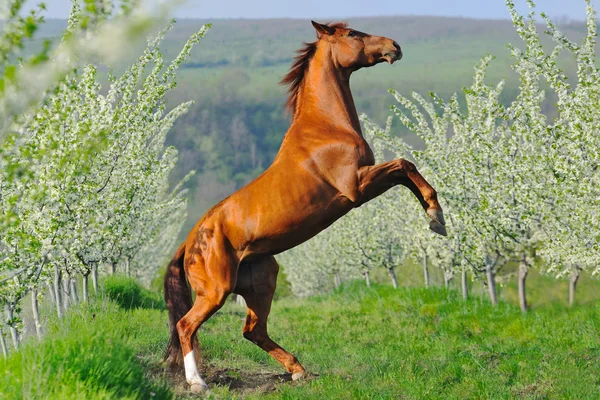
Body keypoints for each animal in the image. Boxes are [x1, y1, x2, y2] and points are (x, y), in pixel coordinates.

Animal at [164, 20, 446, 392]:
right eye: (352, 34)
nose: (394, 46)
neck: (325, 127)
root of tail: (189, 242)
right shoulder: (357, 188)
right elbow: (404, 165)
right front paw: (436, 217)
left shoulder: (365, 182)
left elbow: (405, 171)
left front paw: (435, 219)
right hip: (215, 291)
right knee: (186, 325)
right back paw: (198, 383)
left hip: (262, 279)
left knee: (253, 330)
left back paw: (298, 370)